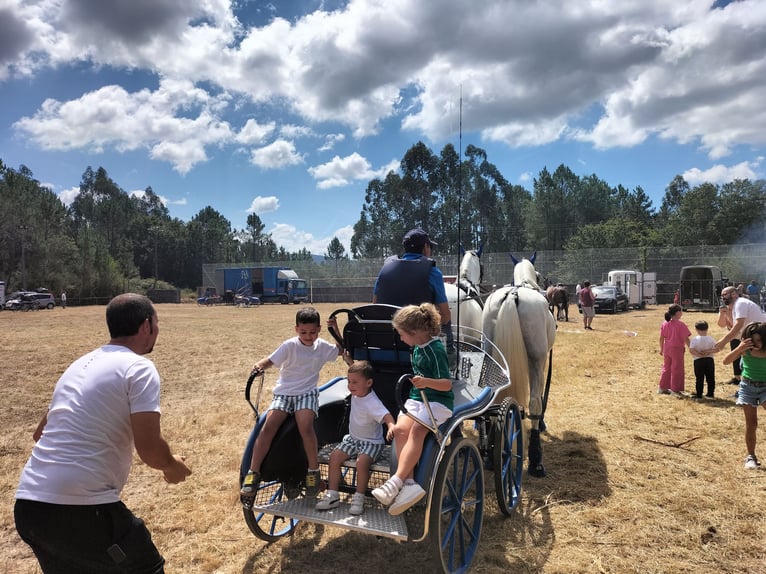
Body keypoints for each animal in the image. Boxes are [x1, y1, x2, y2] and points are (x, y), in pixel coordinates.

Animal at [484, 254, 556, 480]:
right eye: (540, 276)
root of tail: (512, 295)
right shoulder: (541, 361)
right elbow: (539, 396)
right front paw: (541, 423)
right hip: (536, 358)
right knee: (534, 402)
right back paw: (536, 461)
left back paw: (490, 456)